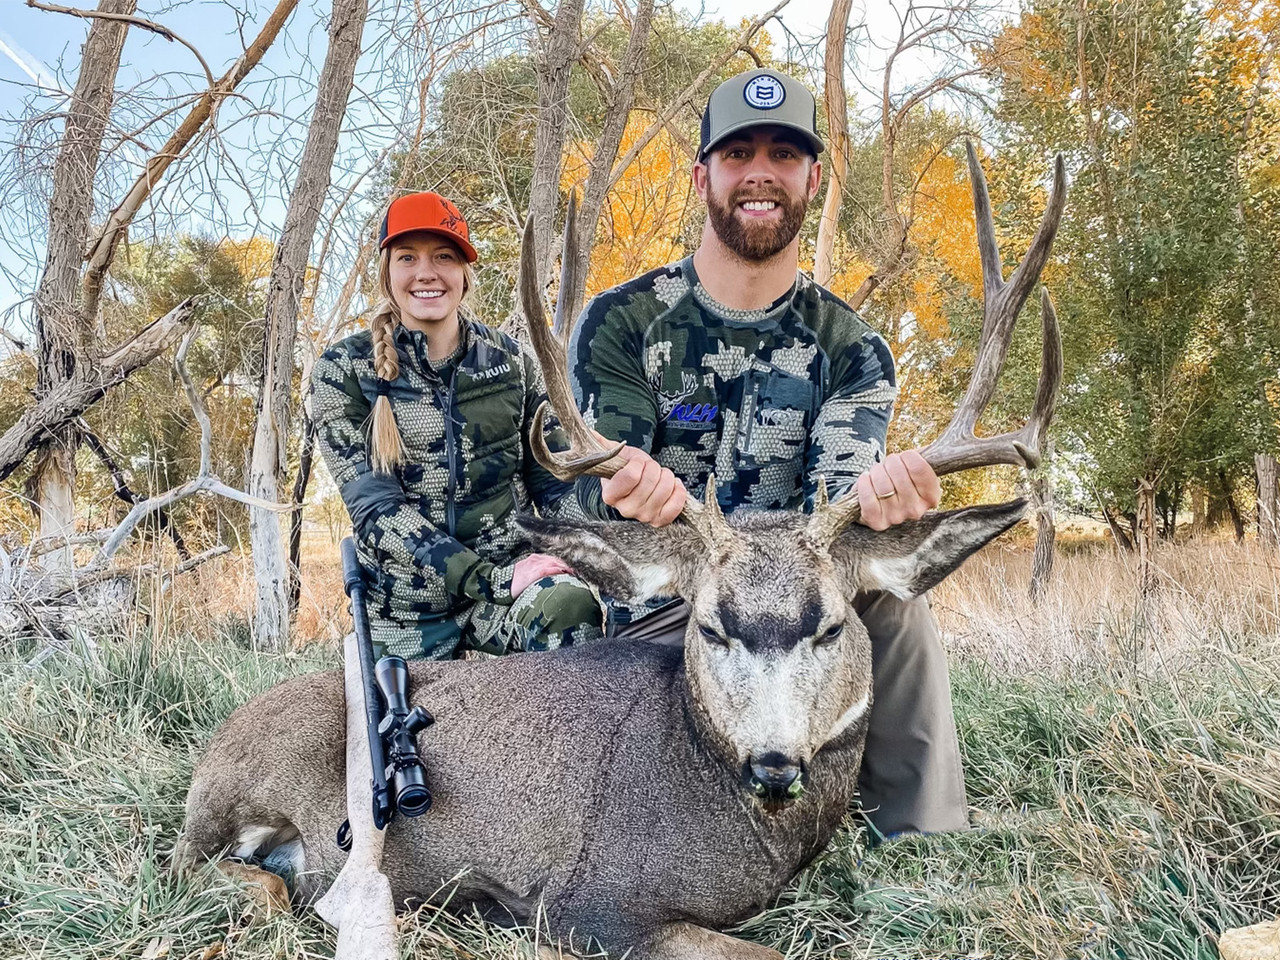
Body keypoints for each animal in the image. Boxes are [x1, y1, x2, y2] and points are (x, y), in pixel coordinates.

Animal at [177, 144, 1059, 960]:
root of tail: (218, 742)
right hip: (237, 793)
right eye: (710, 626)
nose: (774, 764)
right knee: (215, 870)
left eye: (832, 625)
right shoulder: (599, 902)